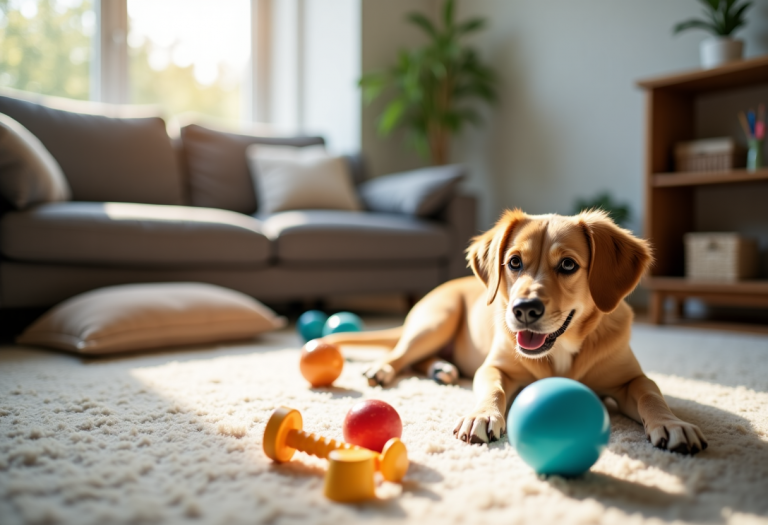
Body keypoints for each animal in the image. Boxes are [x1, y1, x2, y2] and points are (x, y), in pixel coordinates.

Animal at [322, 209, 708, 454]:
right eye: (514, 262)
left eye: (568, 265)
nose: (523, 310)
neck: (563, 350)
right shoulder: (495, 367)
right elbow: (492, 388)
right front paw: (481, 415)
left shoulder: (631, 378)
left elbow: (651, 394)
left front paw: (672, 424)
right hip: (436, 321)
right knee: (400, 354)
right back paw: (384, 369)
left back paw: (441, 369)